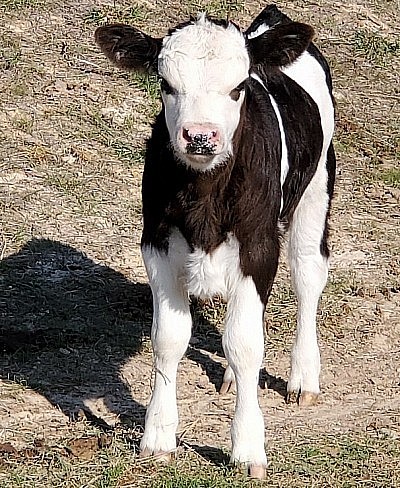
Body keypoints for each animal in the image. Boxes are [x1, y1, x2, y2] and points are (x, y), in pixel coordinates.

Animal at [96, 3, 334, 480]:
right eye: (166, 84)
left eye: (238, 87)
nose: (201, 136)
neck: (204, 197)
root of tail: (273, 21)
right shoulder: (156, 241)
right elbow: (169, 338)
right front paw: (157, 437)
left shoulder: (258, 247)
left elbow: (244, 344)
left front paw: (247, 448)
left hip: (316, 189)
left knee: (308, 276)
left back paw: (303, 377)